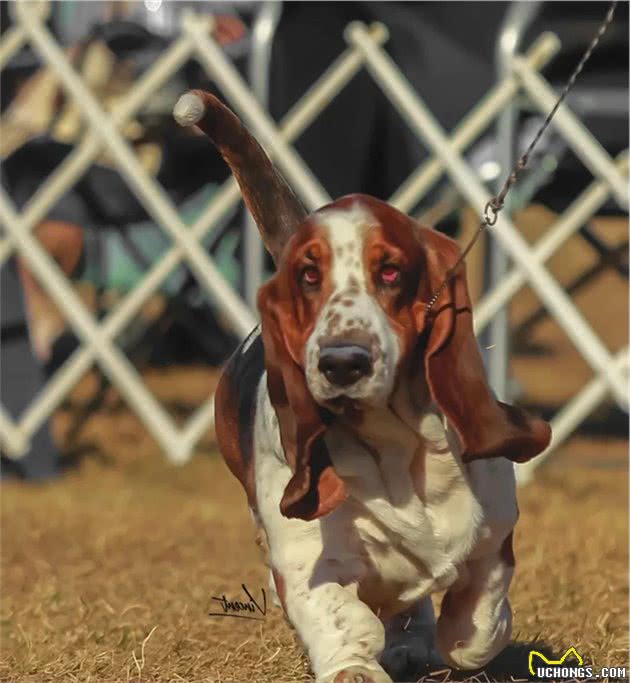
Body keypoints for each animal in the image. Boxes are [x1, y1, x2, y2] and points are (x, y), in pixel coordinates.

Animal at [175, 91, 552, 683]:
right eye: (308, 277)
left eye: (391, 272)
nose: (343, 363)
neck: (398, 446)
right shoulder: (304, 561)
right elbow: (342, 618)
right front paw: (355, 663)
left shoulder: (496, 540)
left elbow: (477, 628)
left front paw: (448, 636)